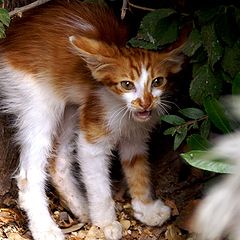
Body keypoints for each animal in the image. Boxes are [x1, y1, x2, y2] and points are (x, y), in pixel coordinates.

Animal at [0, 0, 184, 239]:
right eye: (126, 84)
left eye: (157, 81)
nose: (145, 103)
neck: (124, 111)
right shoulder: (93, 137)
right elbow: (98, 185)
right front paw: (105, 223)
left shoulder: (136, 135)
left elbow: (138, 168)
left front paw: (147, 208)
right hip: (40, 105)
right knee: (29, 177)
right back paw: (45, 228)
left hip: (71, 108)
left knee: (58, 162)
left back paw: (80, 207)